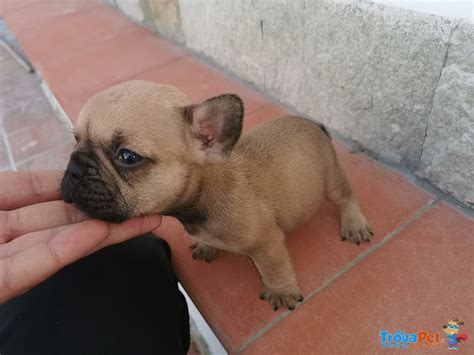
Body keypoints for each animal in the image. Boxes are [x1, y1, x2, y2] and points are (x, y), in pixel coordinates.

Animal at [62, 80, 374, 312]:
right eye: (75, 140)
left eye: (127, 156)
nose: (74, 167)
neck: (200, 199)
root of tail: (313, 124)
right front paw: (205, 245)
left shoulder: (268, 244)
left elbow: (274, 269)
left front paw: (281, 291)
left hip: (330, 177)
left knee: (345, 197)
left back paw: (354, 224)